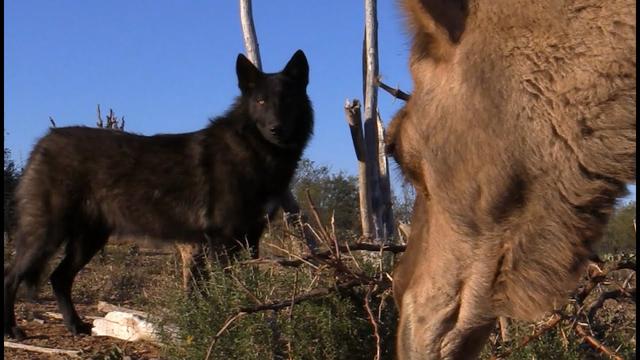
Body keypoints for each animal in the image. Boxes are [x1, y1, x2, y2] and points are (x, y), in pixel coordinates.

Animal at [3, 49, 314, 338]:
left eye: (287, 100)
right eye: (260, 101)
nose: (276, 128)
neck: (255, 151)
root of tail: (45, 140)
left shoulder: (249, 239)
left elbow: (247, 285)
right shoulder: (223, 242)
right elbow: (228, 290)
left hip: (88, 241)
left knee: (59, 278)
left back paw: (75, 326)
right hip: (47, 236)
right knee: (11, 276)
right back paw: (13, 330)